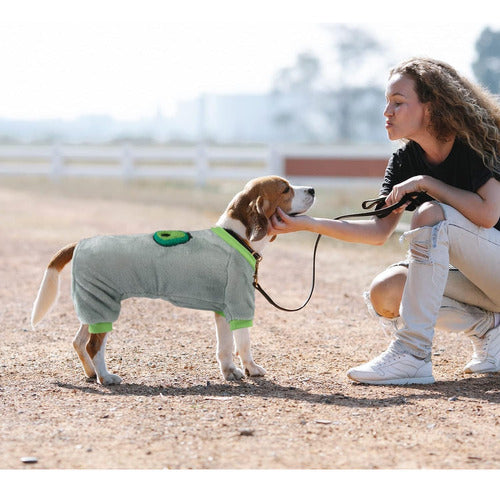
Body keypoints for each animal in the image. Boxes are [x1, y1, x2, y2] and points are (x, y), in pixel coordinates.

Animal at [30, 176, 312, 384]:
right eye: (285, 189)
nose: (312, 188)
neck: (237, 235)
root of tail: (81, 243)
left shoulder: (223, 310)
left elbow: (225, 346)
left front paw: (230, 372)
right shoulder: (240, 304)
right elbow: (243, 343)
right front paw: (252, 369)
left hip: (94, 304)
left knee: (79, 342)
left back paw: (91, 374)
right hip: (104, 304)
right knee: (92, 345)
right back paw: (106, 377)